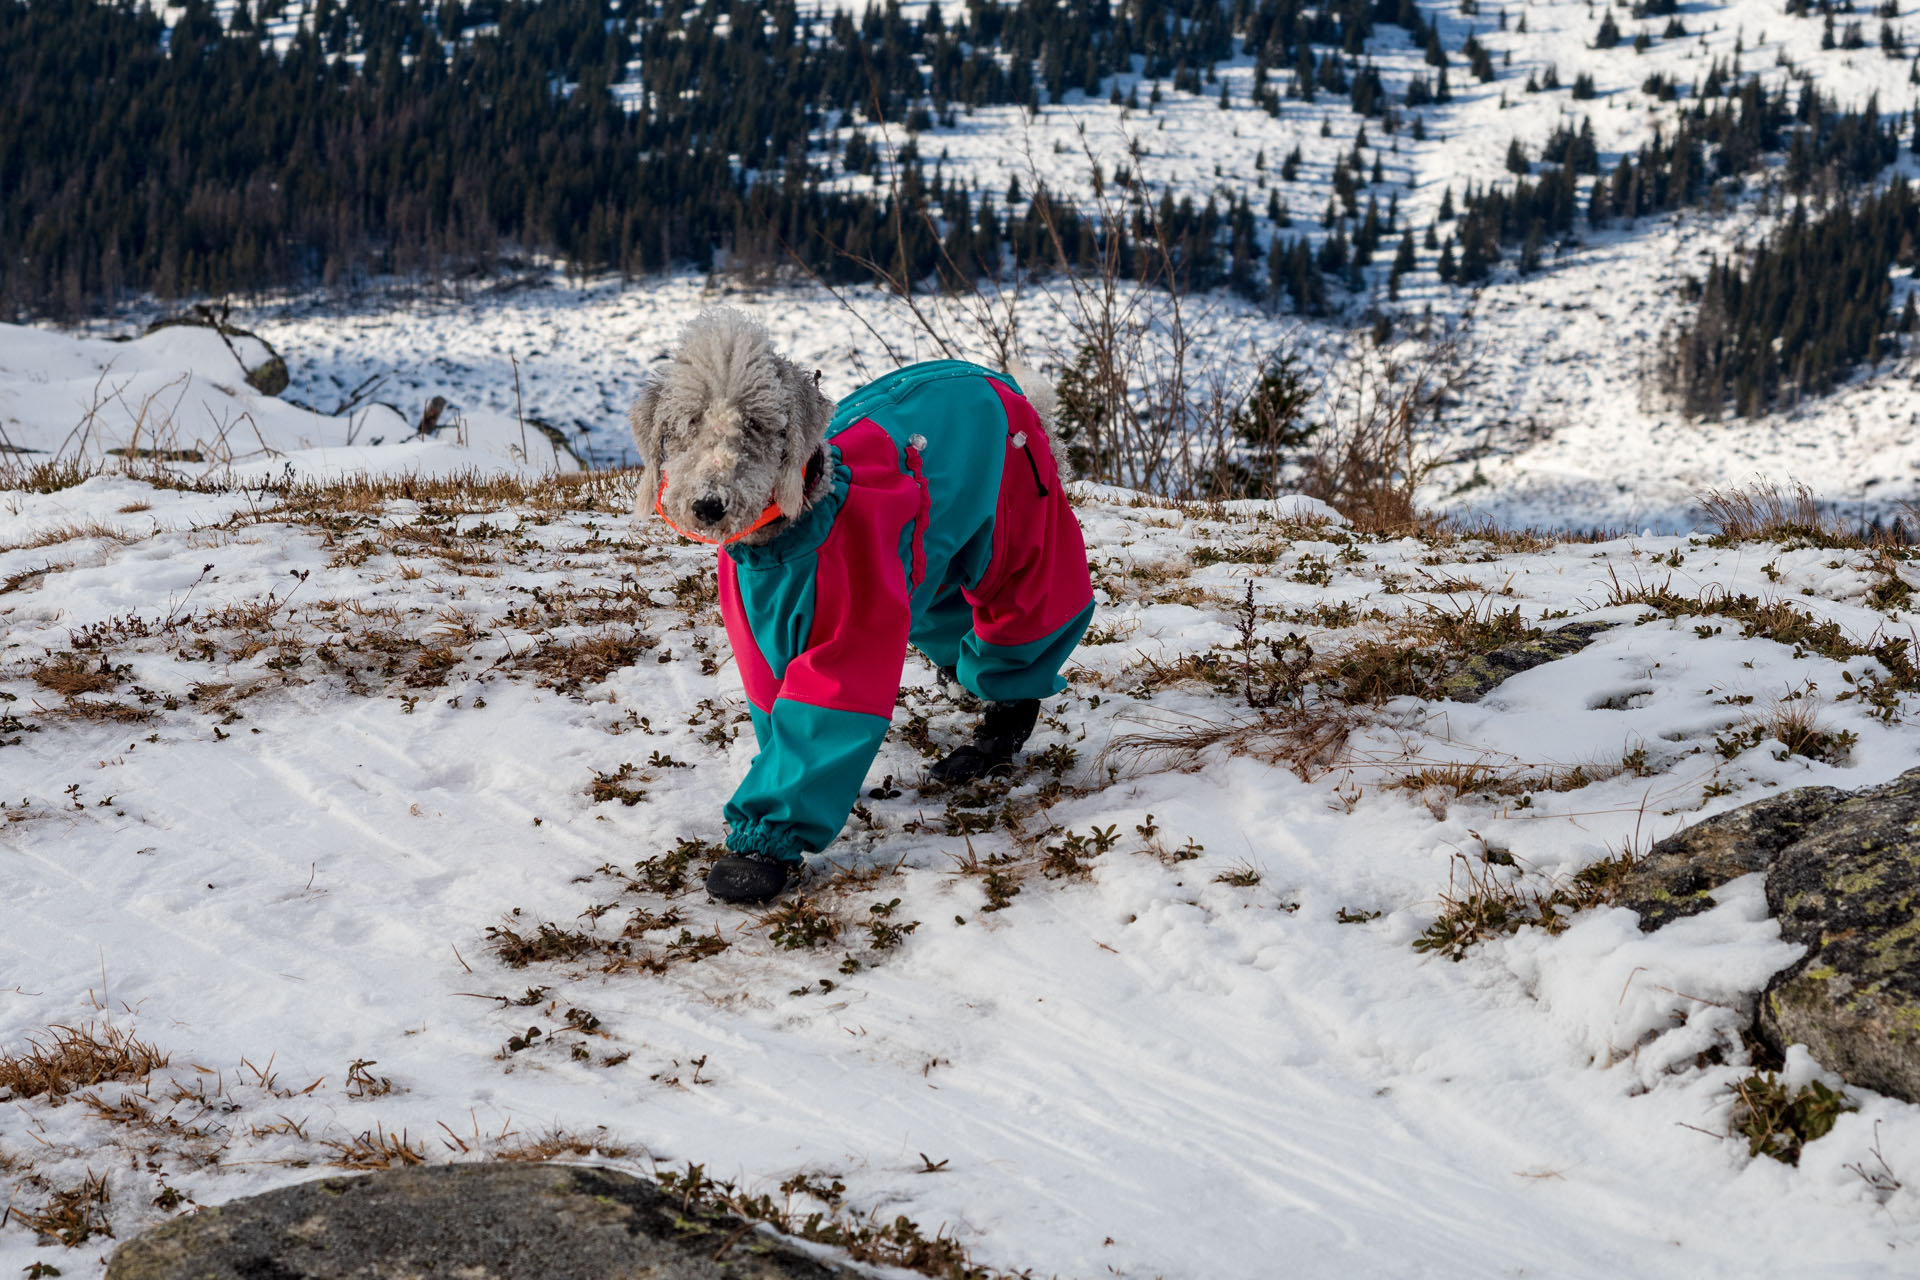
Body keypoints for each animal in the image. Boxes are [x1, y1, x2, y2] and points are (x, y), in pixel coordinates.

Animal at [633, 310, 1098, 905]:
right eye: (687, 422)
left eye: (757, 424)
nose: (709, 505)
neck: (792, 535)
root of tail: (1005, 382)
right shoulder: (762, 644)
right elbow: (778, 720)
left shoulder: (853, 630)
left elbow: (827, 712)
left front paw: (755, 858)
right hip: (934, 566)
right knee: (953, 625)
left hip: (1017, 531)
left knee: (1025, 621)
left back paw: (991, 739)